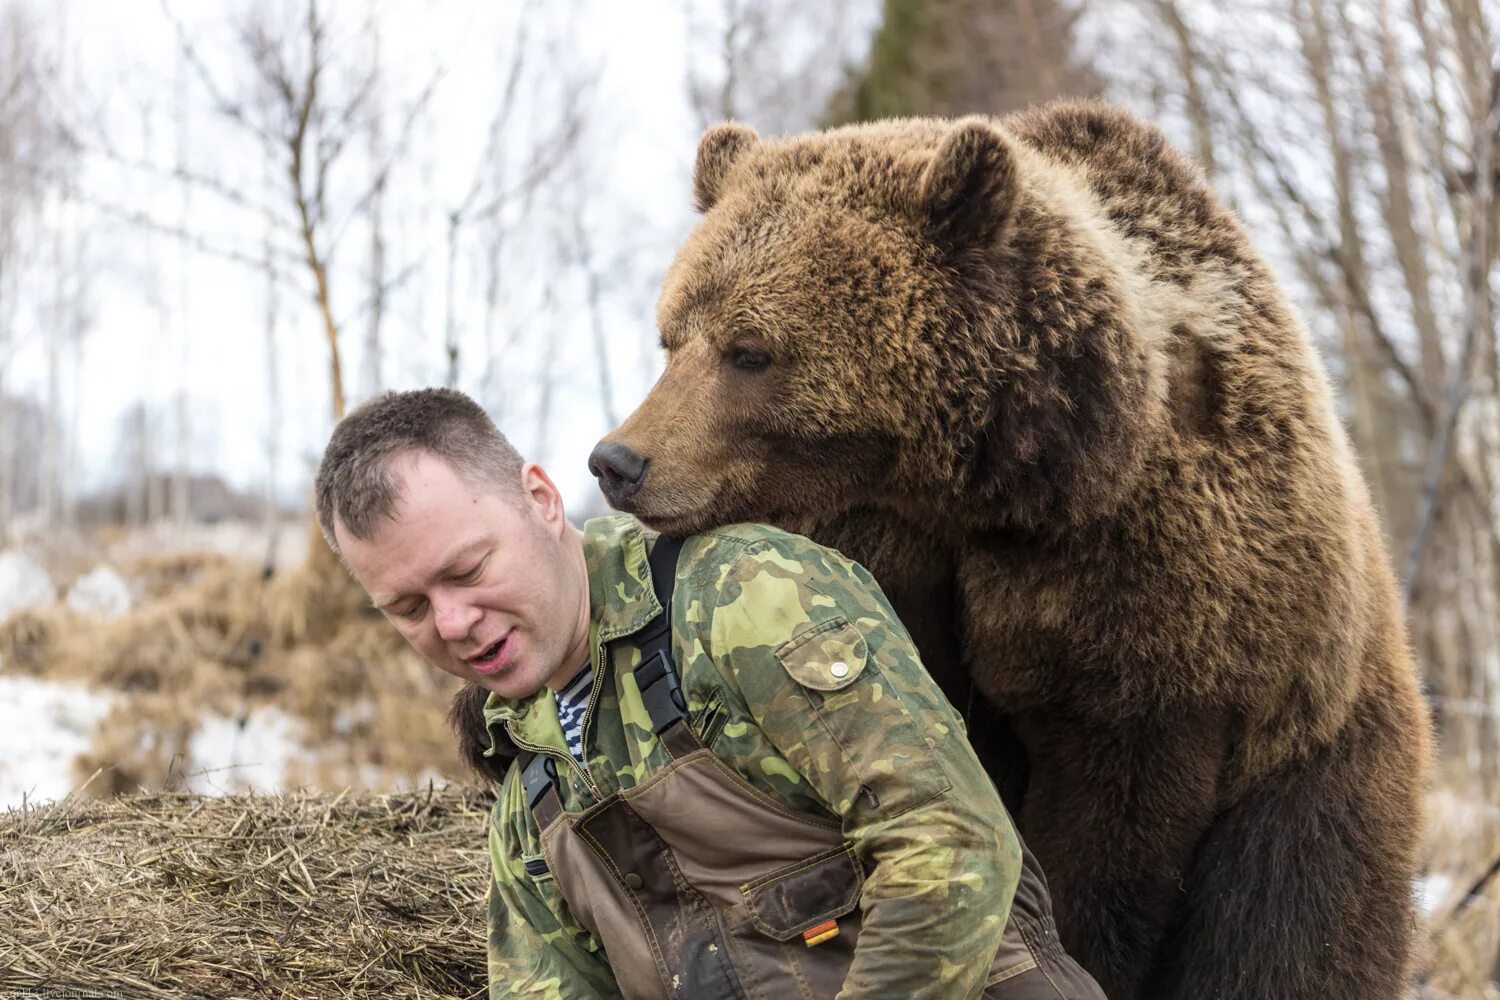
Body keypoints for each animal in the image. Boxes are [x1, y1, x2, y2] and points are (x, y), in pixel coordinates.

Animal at [573, 103, 1428, 1000]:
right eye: (672, 337)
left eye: (749, 349)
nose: (619, 461)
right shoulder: (877, 546)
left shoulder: (1146, 598)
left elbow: (1109, 819)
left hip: (1315, 757)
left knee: (1291, 927)